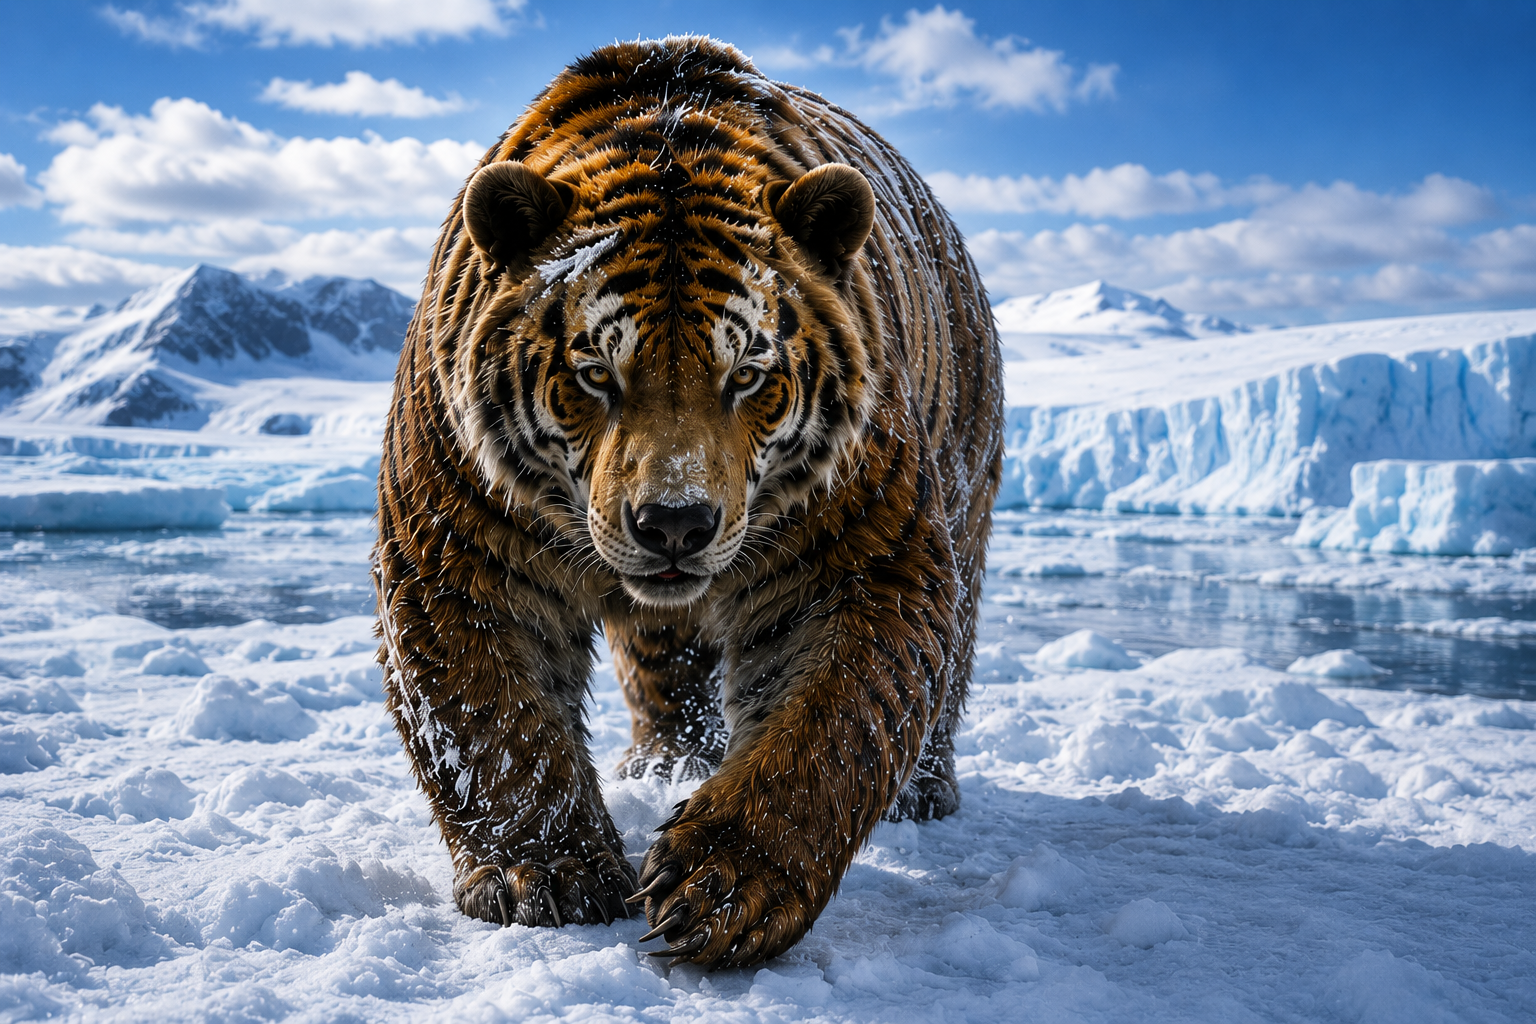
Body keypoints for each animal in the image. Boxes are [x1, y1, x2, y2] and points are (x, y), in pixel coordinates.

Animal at [373, 36, 1004, 969]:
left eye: (746, 374)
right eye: (596, 372)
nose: (676, 521)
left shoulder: (857, 554)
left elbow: (829, 724)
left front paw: (725, 888)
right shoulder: (458, 547)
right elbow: (491, 720)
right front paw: (545, 876)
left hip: (967, 500)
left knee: (951, 659)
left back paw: (921, 793)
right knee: (666, 673)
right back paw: (662, 766)